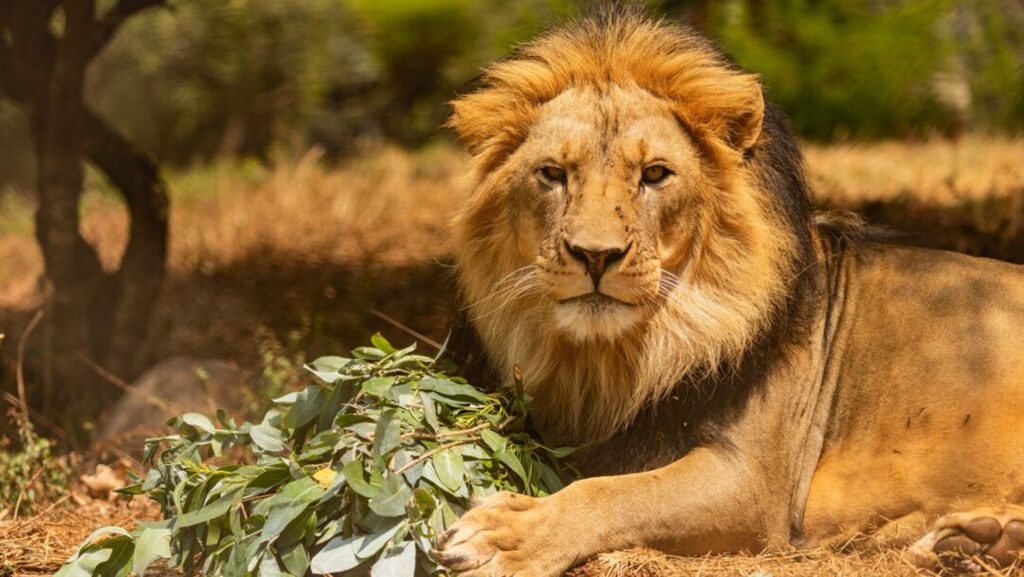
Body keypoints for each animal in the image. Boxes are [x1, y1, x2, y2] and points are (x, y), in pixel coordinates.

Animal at [435, 8, 1024, 577]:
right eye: (553, 173)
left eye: (655, 174)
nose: (595, 256)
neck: (608, 362)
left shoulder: (753, 482)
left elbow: (614, 493)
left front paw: (508, 536)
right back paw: (975, 541)